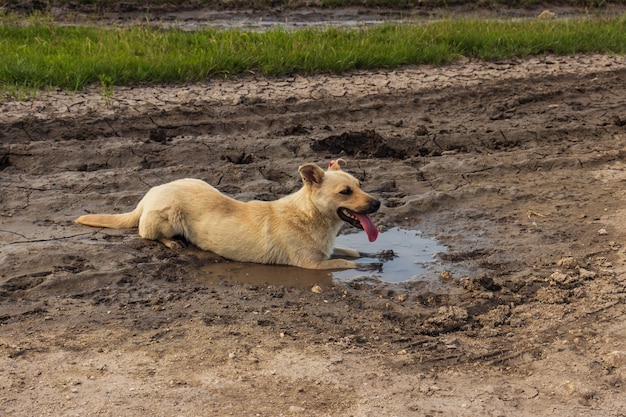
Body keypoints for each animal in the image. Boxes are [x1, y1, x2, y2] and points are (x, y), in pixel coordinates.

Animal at [75, 159, 378, 270]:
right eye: (345, 191)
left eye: (360, 184)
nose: (378, 203)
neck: (310, 214)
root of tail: (151, 191)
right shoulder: (311, 265)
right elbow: (346, 264)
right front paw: (366, 266)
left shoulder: (326, 250)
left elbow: (351, 252)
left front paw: (370, 255)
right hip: (170, 213)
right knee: (148, 234)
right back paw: (172, 242)